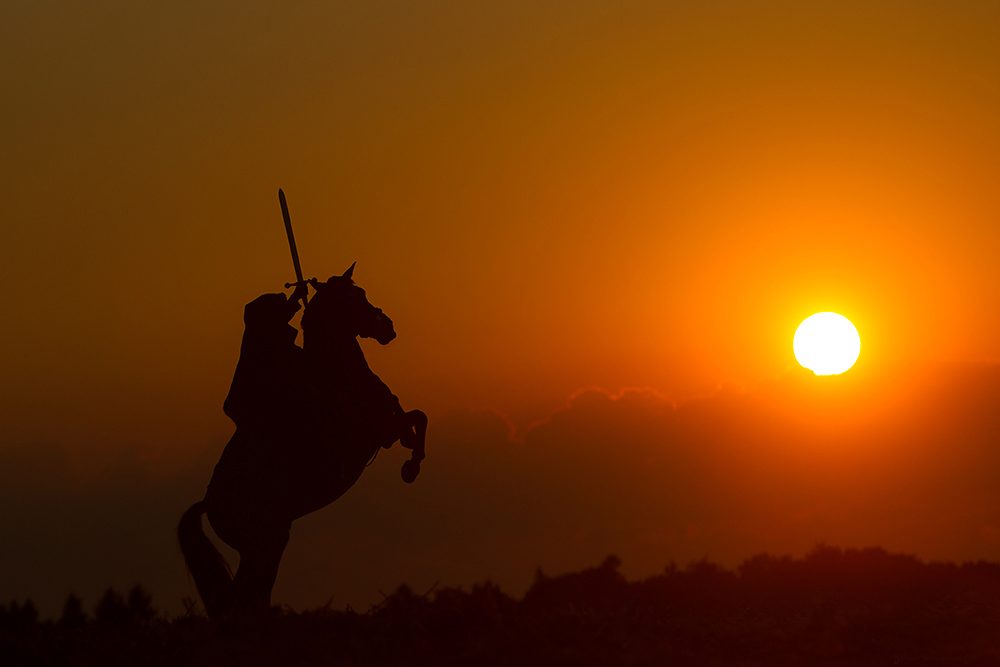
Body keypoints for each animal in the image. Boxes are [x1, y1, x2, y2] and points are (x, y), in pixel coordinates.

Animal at [177, 264, 426, 620]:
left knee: (246, 598)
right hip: (264, 543)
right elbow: (419, 419)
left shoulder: (389, 423)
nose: (388, 326)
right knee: (241, 600)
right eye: (358, 296)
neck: (340, 374)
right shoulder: (382, 428)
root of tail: (210, 503)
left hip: (264, 545)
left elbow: (414, 417)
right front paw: (412, 466)